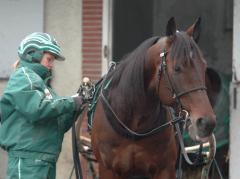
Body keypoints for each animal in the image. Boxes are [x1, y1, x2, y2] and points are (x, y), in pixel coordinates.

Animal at [89, 17, 216, 179]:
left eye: (204, 67)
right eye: (177, 68)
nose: (206, 122)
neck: (133, 126)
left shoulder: (165, 170)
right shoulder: (108, 170)